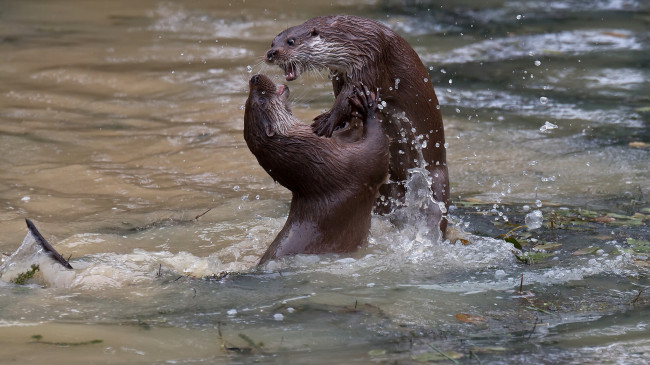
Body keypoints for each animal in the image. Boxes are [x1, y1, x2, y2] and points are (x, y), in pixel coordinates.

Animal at [242, 73, 384, 264]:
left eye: (250, 98)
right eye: (262, 99)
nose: (255, 78)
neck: (319, 160)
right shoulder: (353, 165)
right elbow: (377, 150)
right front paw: (367, 106)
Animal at [262, 14, 446, 233]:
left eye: (291, 41)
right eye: (273, 42)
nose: (271, 53)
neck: (354, 39)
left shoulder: (370, 60)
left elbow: (347, 98)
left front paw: (327, 121)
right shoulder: (340, 72)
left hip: (436, 178)